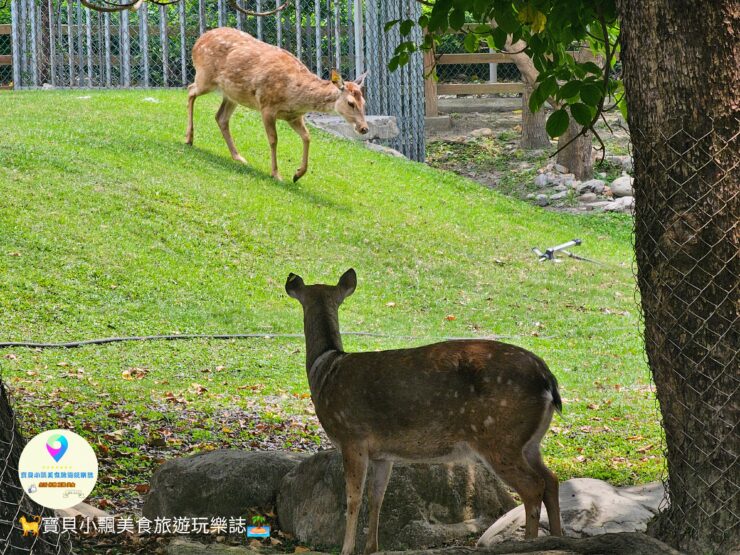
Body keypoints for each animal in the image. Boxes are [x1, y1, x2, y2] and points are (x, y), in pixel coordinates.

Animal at [186, 27, 369, 182]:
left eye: (364, 102)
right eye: (350, 103)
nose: (364, 128)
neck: (295, 94)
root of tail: (197, 42)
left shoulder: (294, 116)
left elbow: (307, 136)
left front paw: (297, 174)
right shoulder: (267, 106)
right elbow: (274, 139)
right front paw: (276, 174)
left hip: (232, 95)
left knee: (221, 117)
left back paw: (238, 157)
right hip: (205, 77)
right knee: (190, 90)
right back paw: (189, 138)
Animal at [285, 269, 563, 554]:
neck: (325, 371)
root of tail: (548, 381)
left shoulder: (352, 436)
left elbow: (354, 497)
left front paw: (347, 549)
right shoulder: (382, 454)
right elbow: (377, 497)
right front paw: (372, 547)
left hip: (498, 436)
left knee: (533, 486)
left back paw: (531, 542)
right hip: (528, 441)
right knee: (551, 480)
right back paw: (558, 538)